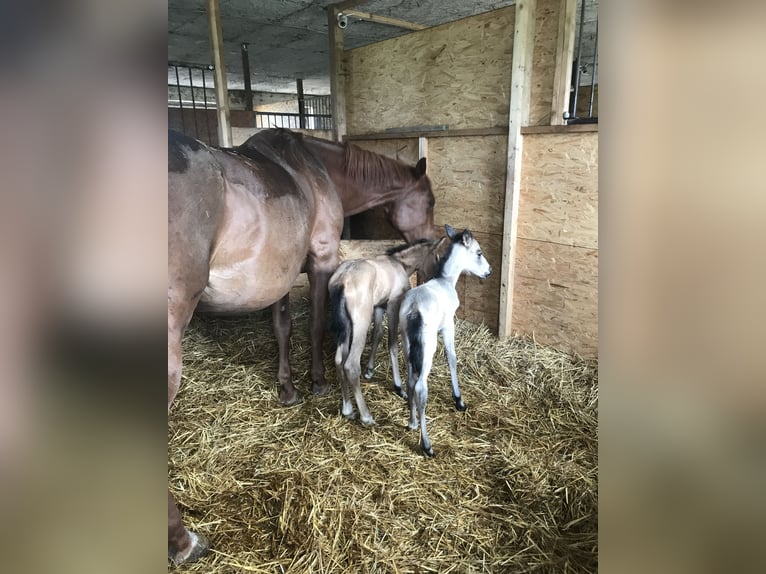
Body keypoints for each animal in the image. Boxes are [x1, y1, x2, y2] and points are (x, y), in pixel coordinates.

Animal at [329, 238, 447, 426]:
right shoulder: (393, 305)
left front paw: (370, 370)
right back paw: (366, 416)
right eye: (436, 257)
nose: (435, 279)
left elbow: (377, 334)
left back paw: (347, 409)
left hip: (345, 326)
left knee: (339, 360)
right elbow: (392, 343)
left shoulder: (379, 306)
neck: (399, 264)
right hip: (360, 323)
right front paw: (399, 387)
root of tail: (342, 280)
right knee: (350, 365)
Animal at [398, 225, 492, 457]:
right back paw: (427, 445)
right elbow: (452, 357)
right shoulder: (449, 324)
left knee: (410, 380)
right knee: (421, 386)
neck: (445, 281)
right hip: (427, 346)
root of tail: (414, 309)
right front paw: (459, 399)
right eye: (479, 252)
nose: (489, 271)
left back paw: (412, 423)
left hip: (406, 342)